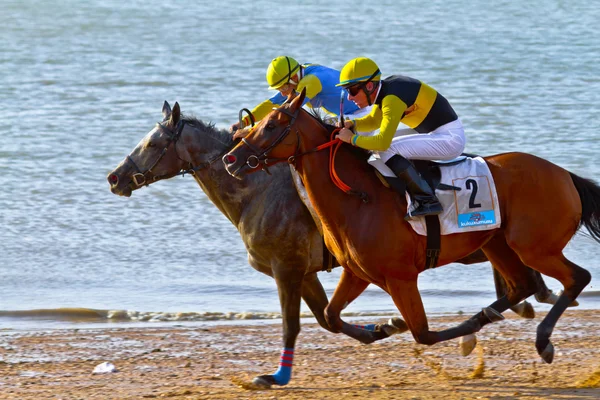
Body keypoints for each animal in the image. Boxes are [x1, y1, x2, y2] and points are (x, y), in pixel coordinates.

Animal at [108, 101, 564, 390]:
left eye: (152, 144)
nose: (115, 177)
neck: (258, 191)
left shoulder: (287, 269)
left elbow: (294, 324)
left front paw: (276, 376)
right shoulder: (305, 272)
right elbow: (327, 318)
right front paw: (382, 327)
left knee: (527, 280)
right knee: (522, 282)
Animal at [225, 89, 600, 364]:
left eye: (271, 126)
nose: (231, 158)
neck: (359, 198)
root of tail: (564, 175)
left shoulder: (400, 277)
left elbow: (424, 333)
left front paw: (406, 327)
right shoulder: (357, 272)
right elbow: (331, 315)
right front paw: (380, 329)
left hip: (534, 247)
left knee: (576, 278)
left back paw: (542, 340)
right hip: (498, 244)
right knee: (522, 285)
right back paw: (488, 319)